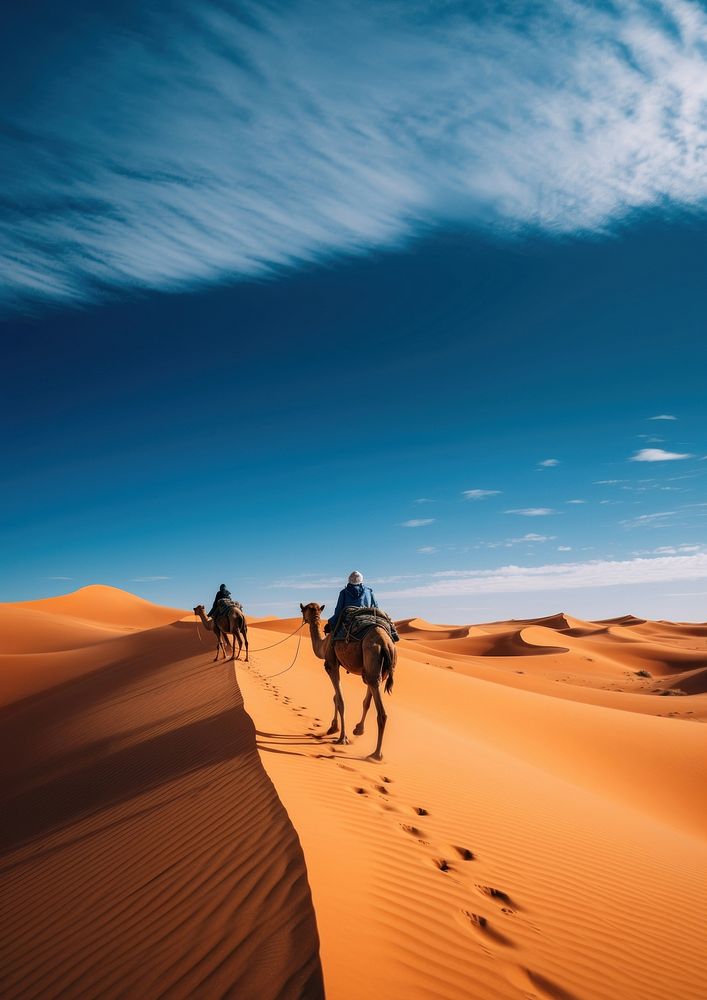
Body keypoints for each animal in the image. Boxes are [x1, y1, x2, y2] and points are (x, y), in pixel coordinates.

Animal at [302, 600, 396, 756]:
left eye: (303, 611)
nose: (304, 619)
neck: (323, 645)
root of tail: (385, 644)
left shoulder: (331, 664)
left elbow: (340, 700)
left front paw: (341, 737)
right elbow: (337, 697)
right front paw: (334, 727)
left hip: (371, 655)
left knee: (382, 713)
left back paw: (376, 754)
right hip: (377, 672)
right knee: (371, 693)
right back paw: (359, 730)